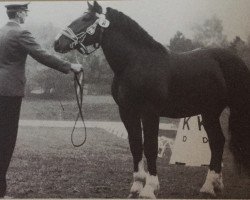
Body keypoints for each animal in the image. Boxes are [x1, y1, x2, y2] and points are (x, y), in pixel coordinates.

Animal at [54, 1, 250, 198]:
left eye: (86, 18)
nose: (57, 42)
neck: (134, 63)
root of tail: (235, 60)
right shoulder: (127, 112)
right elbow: (135, 145)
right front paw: (136, 186)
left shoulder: (150, 112)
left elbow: (150, 146)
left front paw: (149, 188)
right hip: (210, 112)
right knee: (218, 142)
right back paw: (214, 185)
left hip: (217, 111)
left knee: (218, 142)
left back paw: (209, 186)